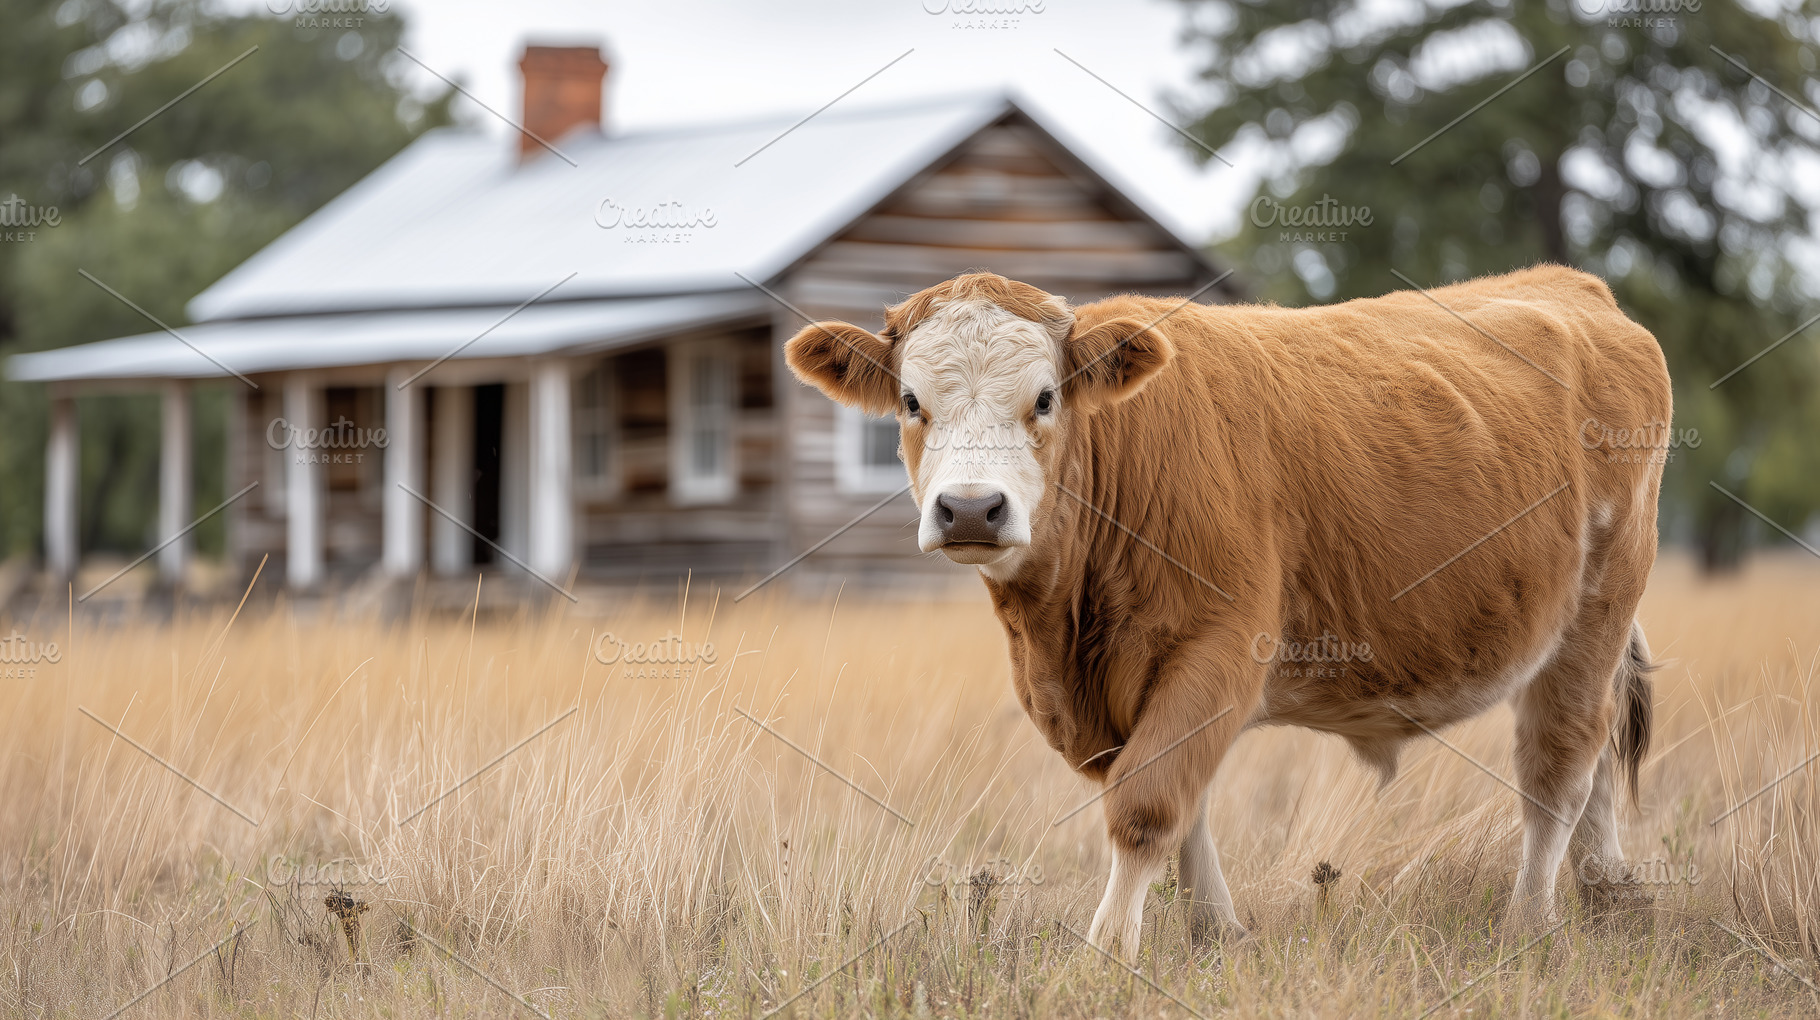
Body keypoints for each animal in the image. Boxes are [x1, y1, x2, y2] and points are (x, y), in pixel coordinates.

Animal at [784, 265, 1668, 958]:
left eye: (1044, 399)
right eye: (910, 401)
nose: (971, 508)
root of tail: (1567, 285)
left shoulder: (1219, 649)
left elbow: (1147, 804)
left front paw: (1109, 951)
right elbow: (1185, 802)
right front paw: (1216, 932)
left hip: (1595, 613)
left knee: (1558, 766)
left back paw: (1530, 922)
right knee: (1589, 766)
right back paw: (1609, 897)